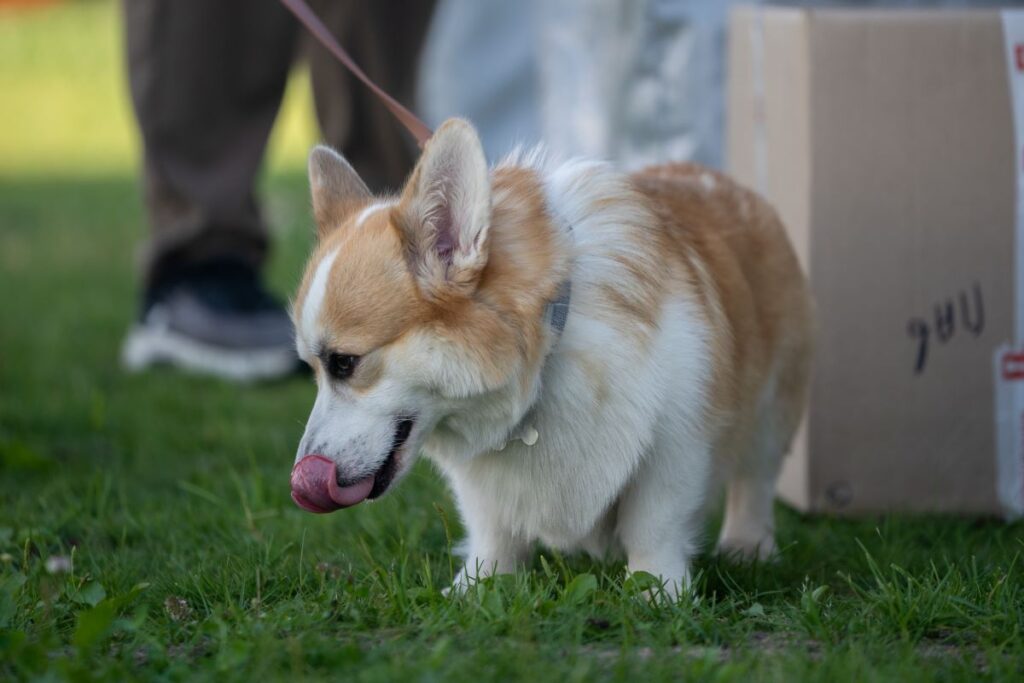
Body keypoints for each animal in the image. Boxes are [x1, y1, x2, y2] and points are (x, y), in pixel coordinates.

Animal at [292, 118, 811, 598]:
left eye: (344, 362)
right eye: (313, 369)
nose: (301, 477)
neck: (546, 355)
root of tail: (724, 181)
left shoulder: (676, 442)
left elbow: (655, 523)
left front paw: (657, 592)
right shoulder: (482, 484)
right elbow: (491, 532)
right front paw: (476, 587)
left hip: (772, 409)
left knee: (755, 478)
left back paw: (747, 547)